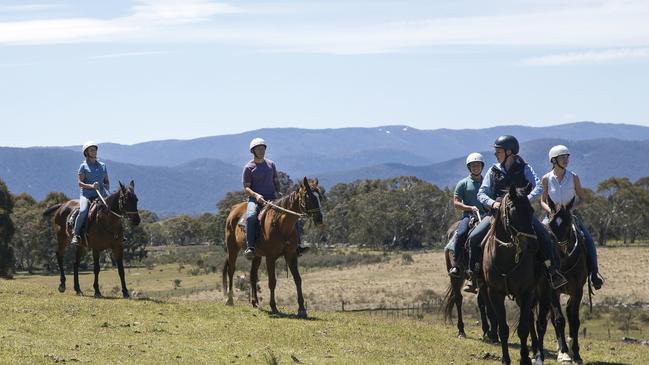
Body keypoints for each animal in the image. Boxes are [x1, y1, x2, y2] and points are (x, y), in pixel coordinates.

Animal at [223, 176, 324, 316]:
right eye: (308, 196)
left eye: (319, 196)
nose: (319, 218)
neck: (282, 226)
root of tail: (234, 209)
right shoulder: (270, 257)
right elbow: (272, 281)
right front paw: (274, 307)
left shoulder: (291, 255)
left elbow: (297, 279)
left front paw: (302, 309)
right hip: (232, 248)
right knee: (231, 269)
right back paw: (229, 300)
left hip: (256, 254)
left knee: (253, 274)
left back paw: (255, 302)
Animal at [480, 185, 540, 364]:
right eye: (514, 211)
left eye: (531, 210)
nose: (533, 245)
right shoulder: (495, 293)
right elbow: (503, 328)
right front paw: (506, 358)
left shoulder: (526, 292)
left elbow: (523, 328)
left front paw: (525, 358)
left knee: (532, 320)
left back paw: (536, 351)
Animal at [536, 196, 588, 364]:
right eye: (551, 224)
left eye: (567, 222)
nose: (557, 251)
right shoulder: (553, 291)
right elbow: (559, 319)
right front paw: (564, 352)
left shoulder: (578, 290)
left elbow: (575, 320)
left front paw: (576, 353)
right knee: (554, 318)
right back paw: (561, 350)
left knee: (569, 313)